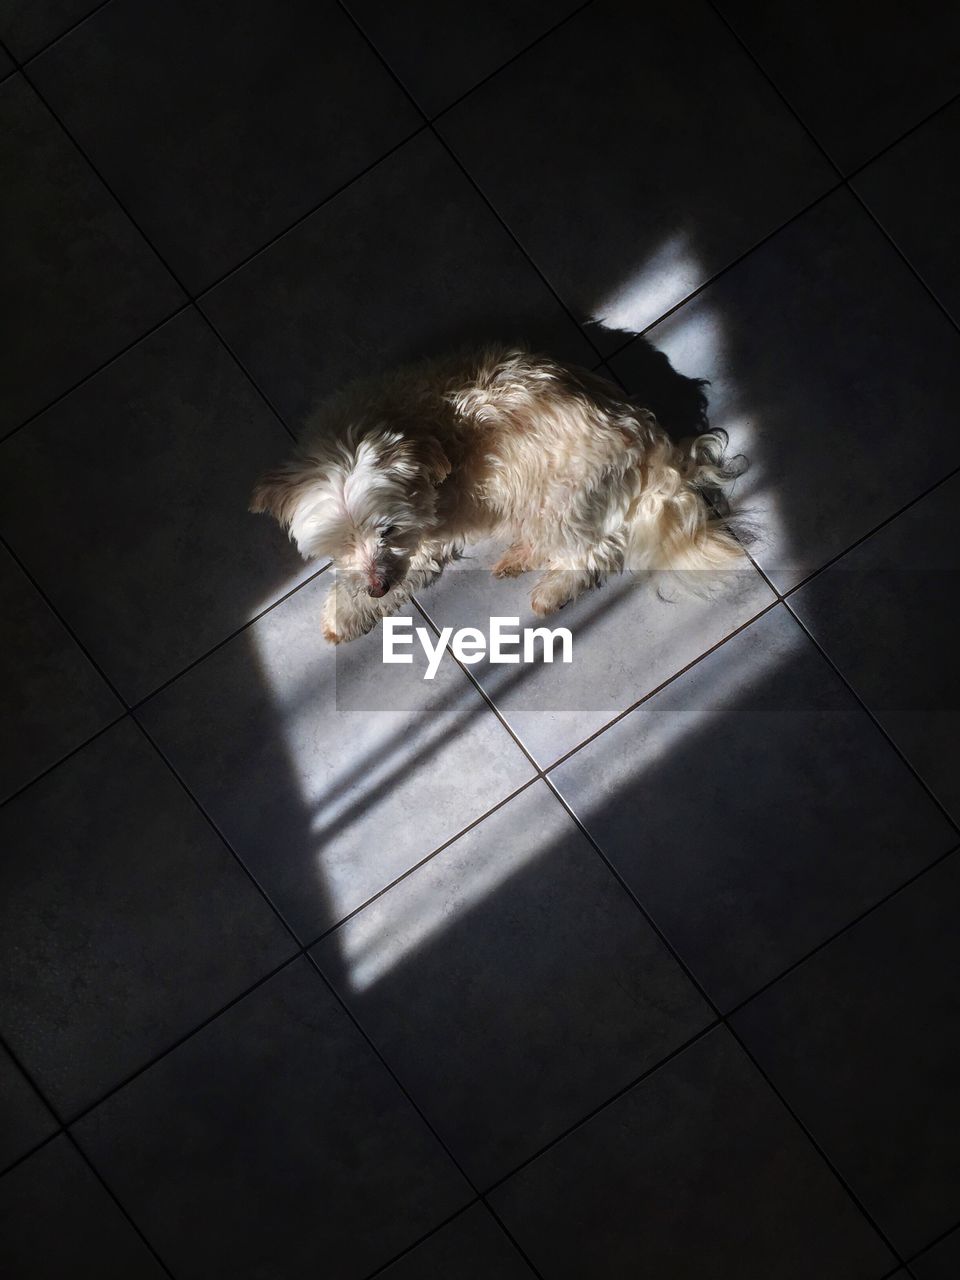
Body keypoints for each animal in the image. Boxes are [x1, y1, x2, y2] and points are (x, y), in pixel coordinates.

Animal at [252, 345, 747, 645]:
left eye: (389, 530)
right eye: (339, 542)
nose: (377, 587)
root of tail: (650, 440)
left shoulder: (424, 536)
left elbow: (410, 563)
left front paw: (344, 614)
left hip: (558, 499)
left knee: (595, 550)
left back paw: (551, 588)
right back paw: (519, 556)